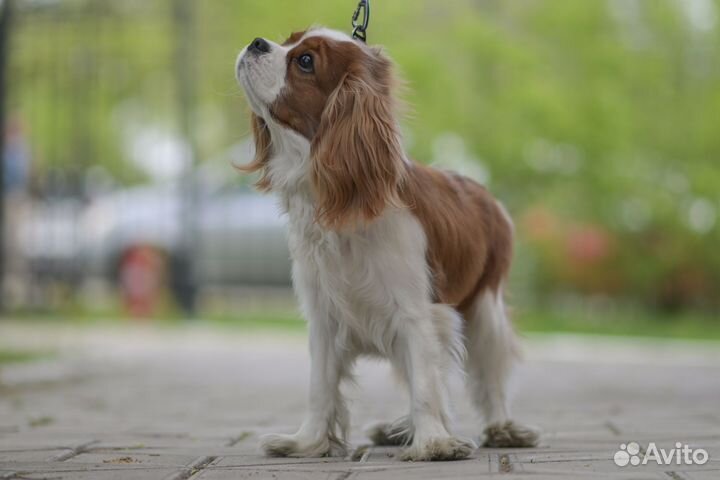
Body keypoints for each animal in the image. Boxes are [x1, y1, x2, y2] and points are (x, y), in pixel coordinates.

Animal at [233, 26, 536, 462]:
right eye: (287, 39)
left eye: (305, 61)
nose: (257, 43)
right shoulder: (324, 319)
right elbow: (320, 389)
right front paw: (307, 442)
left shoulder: (417, 315)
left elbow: (426, 385)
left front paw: (434, 442)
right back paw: (397, 429)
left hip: (485, 310)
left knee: (489, 378)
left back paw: (501, 429)